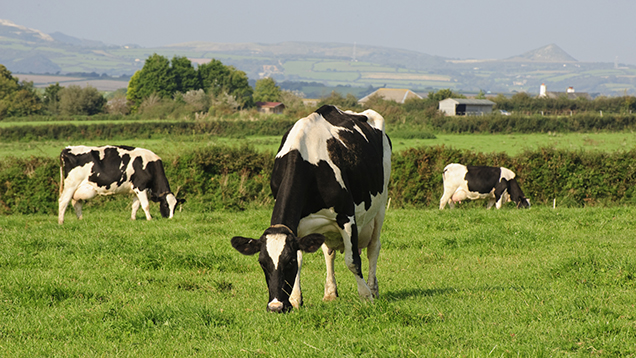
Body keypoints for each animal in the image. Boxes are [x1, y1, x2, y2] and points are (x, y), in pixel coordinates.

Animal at [231, 105, 390, 312]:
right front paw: (295, 299)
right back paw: (330, 293)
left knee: (373, 248)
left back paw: (373, 289)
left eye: (288, 262)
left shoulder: (347, 216)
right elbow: (303, 259)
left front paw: (366, 297)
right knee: (329, 253)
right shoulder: (298, 225)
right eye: (262, 263)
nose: (275, 306)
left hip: (380, 205)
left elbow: (353, 260)